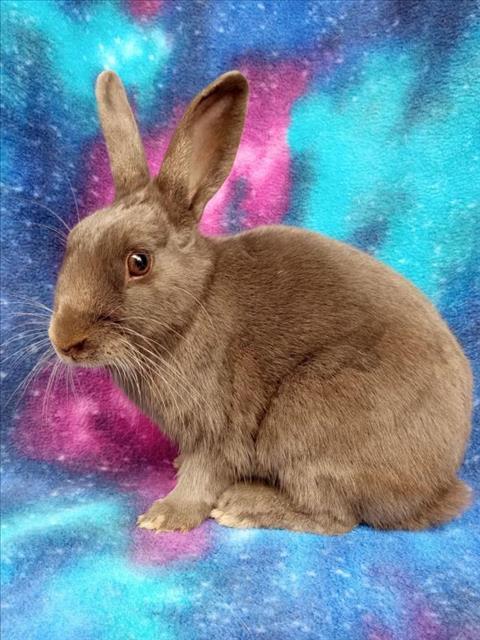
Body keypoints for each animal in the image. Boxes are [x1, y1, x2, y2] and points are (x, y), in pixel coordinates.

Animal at [48, 69, 473, 535]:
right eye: (74, 242)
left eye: (138, 262)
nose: (65, 340)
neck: (193, 303)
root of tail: (438, 487)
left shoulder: (216, 427)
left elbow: (202, 476)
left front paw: (165, 517)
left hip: (306, 417)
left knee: (333, 516)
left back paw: (242, 505)